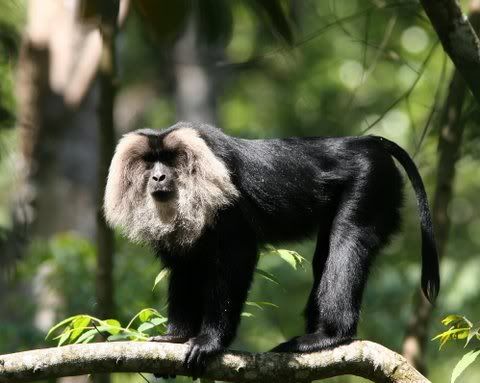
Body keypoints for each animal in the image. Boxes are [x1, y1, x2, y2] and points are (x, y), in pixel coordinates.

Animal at [104, 122, 438, 376]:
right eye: (150, 162)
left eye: (171, 159)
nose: (158, 176)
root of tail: (366, 141)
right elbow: (184, 270)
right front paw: (176, 337)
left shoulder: (229, 209)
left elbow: (236, 262)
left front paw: (210, 342)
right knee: (324, 255)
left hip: (371, 183)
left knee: (348, 240)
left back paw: (329, 336)